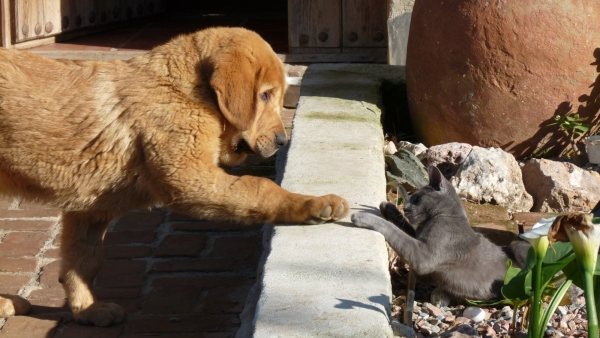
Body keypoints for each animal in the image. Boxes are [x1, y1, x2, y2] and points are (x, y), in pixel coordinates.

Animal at [0, 27, 346, 326]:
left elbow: (83, 259)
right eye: (263, 96)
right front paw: (314, 204)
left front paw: (88, 309)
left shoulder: (91, 207)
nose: (282, 142)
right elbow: (260, 188)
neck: (187, 91)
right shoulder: (190, 178)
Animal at [352, 165, 528, 300]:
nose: (406, 208)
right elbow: (405, 228)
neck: (443, 216)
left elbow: (395, 231)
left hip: (519, 247)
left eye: (418, 198)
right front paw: (388, 207)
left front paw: (362, 217)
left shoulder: (423, 254)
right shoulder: (419, 238)